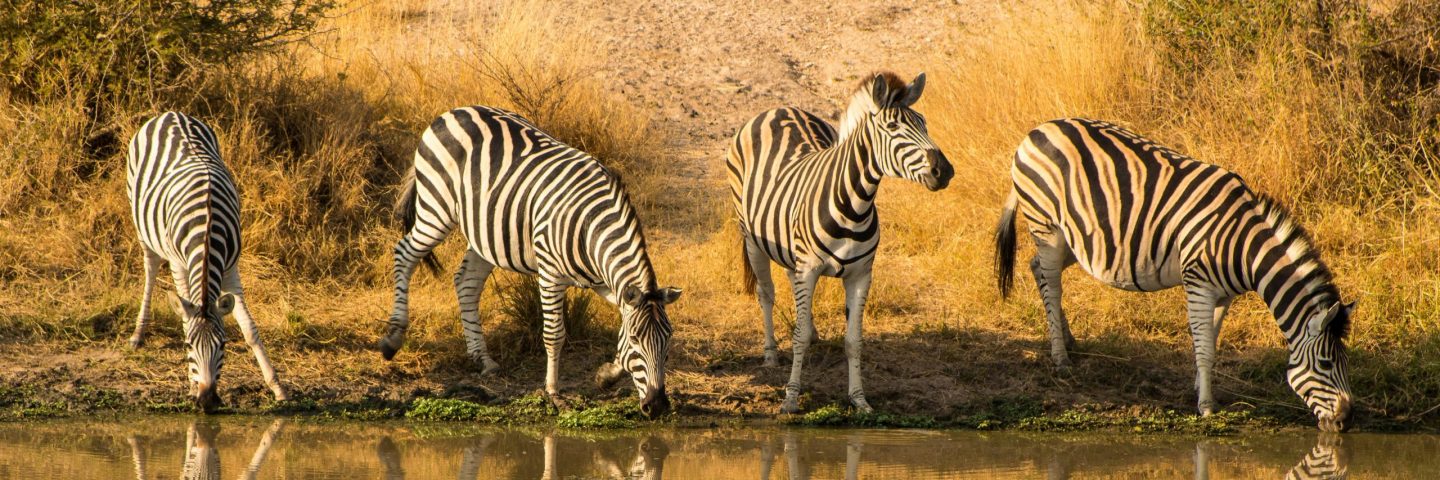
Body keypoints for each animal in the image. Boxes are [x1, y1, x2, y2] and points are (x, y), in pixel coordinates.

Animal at [126, 112, 287, 410]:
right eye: (189, 347)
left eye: (223, 345)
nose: (208, 401)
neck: (208, 228)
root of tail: (171, 113)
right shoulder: (179, 265)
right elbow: (184, 317)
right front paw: (191, 386)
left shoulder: (232, 265)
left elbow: (249, 328)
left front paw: (276, 386)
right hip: (140, 219)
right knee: (150, 267)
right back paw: (138, 333)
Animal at [377, 106, 680, 418]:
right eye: (637, 341)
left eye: (668, 341)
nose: (657, 406)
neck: (591, 229)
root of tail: (454, 111)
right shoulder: (550, 275)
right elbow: (555, 334)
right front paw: (553, 392)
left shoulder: (606, 283)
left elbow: (620, 322)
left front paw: (607, 374)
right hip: (436, 211)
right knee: (404, 254)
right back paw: (392, 338)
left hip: (484, 232)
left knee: (466, 283)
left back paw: (482, 359)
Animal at [727, 71, 954, 413]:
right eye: (892, 128)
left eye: (924, 124)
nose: (945, 171)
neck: (854, 206)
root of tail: (780, 108)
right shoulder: (809, 268)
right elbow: (798, 338)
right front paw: (790, 398)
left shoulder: (861, 274)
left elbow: (853, 341)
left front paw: (859, 400)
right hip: (751, 236)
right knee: (765, 293)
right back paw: (770, 354)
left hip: (790, 248)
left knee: (792, 286)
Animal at [994, 118, 1353, 431]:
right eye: (1325, 364)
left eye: (1346, 363)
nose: (1345, 422)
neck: (1243, 247)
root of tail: (1038, 129)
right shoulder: (1198, 284)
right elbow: (1204, 346)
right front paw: (1206, 406)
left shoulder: (1223, 294)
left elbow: (1211, 340)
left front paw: (1199, 386)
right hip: (1047, 227)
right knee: (1052, 284)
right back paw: (1060, 357)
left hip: (1074, 239)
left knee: (1038, 269)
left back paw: (1068, 339)